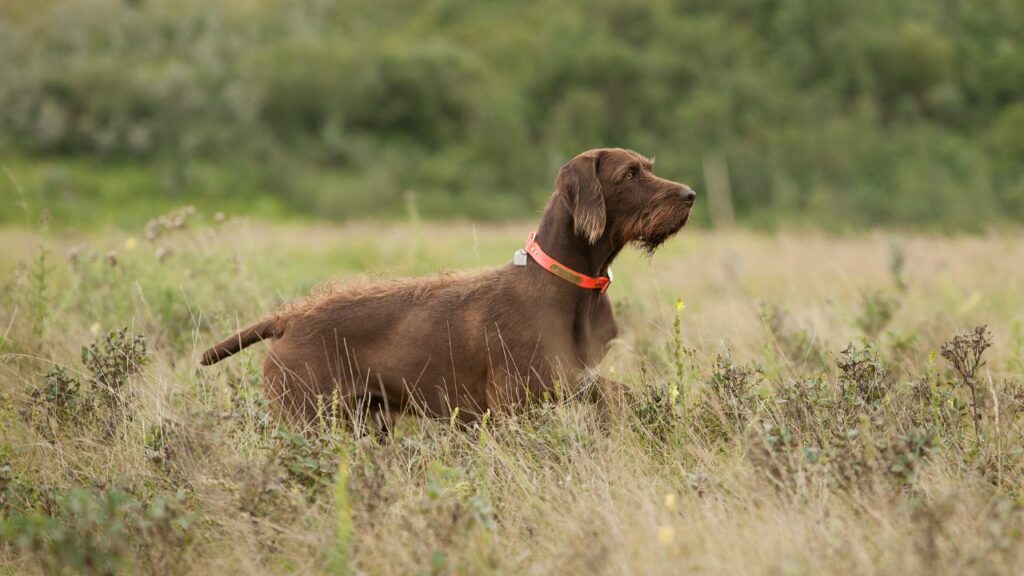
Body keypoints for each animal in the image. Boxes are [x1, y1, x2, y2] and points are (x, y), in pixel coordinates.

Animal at [200, 147, 696, 426]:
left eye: (648, 167)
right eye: (629, 174)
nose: (690, 195)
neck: (566, 282)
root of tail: (288, 317)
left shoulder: (578, 380)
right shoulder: (515, 404)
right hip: (310, 420)